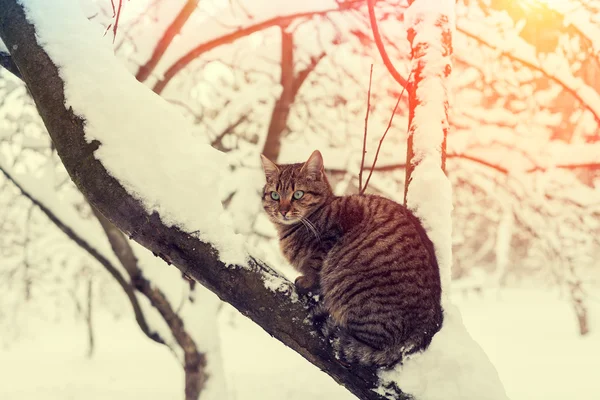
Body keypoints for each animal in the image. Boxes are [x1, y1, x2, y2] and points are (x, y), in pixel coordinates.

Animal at [260, 151, 442, 368]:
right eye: (275, 195)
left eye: (298, 194)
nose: (283, 210)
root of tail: (423, 331)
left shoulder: (332, 237)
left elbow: (315, 270)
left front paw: (307, 282)